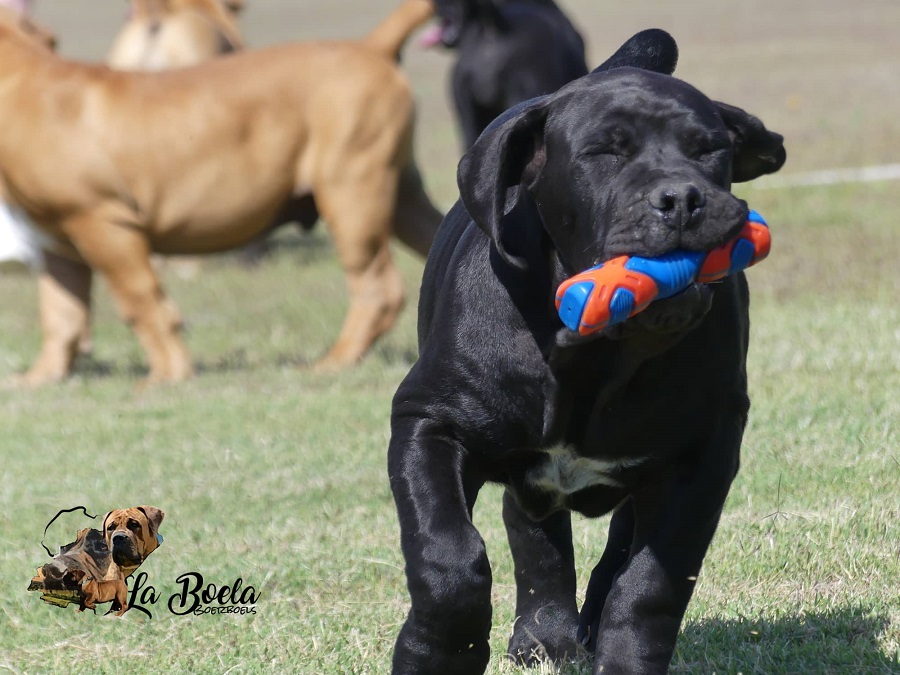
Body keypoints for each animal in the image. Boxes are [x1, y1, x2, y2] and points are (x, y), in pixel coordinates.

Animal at [390, 27, 784, 675]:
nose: (683, 198)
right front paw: (436, 651)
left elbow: (649, 583)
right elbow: (447, 557)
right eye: (605, 153)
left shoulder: (704, 453)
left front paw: (625, 659)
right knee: (532, 533)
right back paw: (543, 635)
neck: (590, 355)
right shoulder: (428, 423)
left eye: (709, 150)